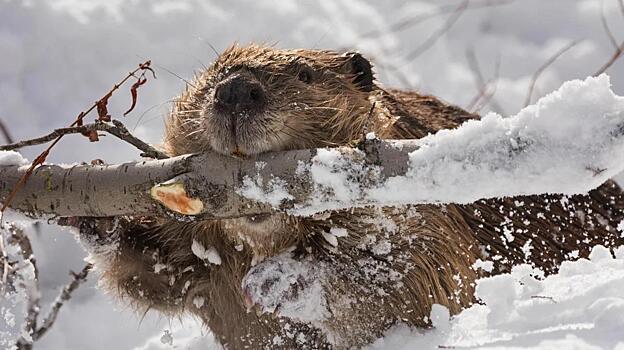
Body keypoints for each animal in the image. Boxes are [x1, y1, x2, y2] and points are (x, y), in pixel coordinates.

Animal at [74, 45, 624, 348]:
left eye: (304, 74)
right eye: (210, 76)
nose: (234, 93)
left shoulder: (427, 212)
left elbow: (422, 273)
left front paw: (281, 281)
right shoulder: (204, 261)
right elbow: (153, 275)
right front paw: (95, 216)